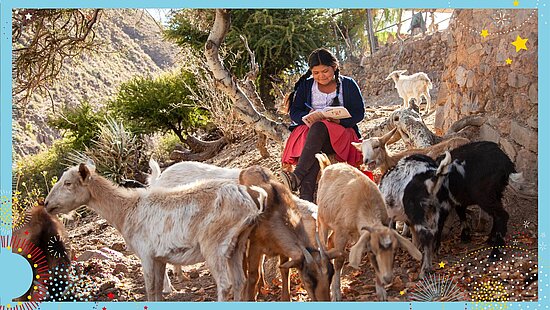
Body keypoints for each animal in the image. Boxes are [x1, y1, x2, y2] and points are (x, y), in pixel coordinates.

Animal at [239, 166, 334, 302]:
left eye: (331, 275)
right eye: (308, 280)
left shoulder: (282, 249)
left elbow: (284, 270)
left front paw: (285, 297)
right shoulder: (255, 245)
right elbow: (253, 276)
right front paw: (250, 296)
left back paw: (262, 284)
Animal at [314, 154, 422, 302]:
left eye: (394, 251)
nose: (388, 278)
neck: (364, 206)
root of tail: (328, 166)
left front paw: (381, 291)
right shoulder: (342, 232)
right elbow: (339, 260)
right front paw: (336, 293)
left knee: (330, 241)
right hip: (323, 220)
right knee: (324, 242)